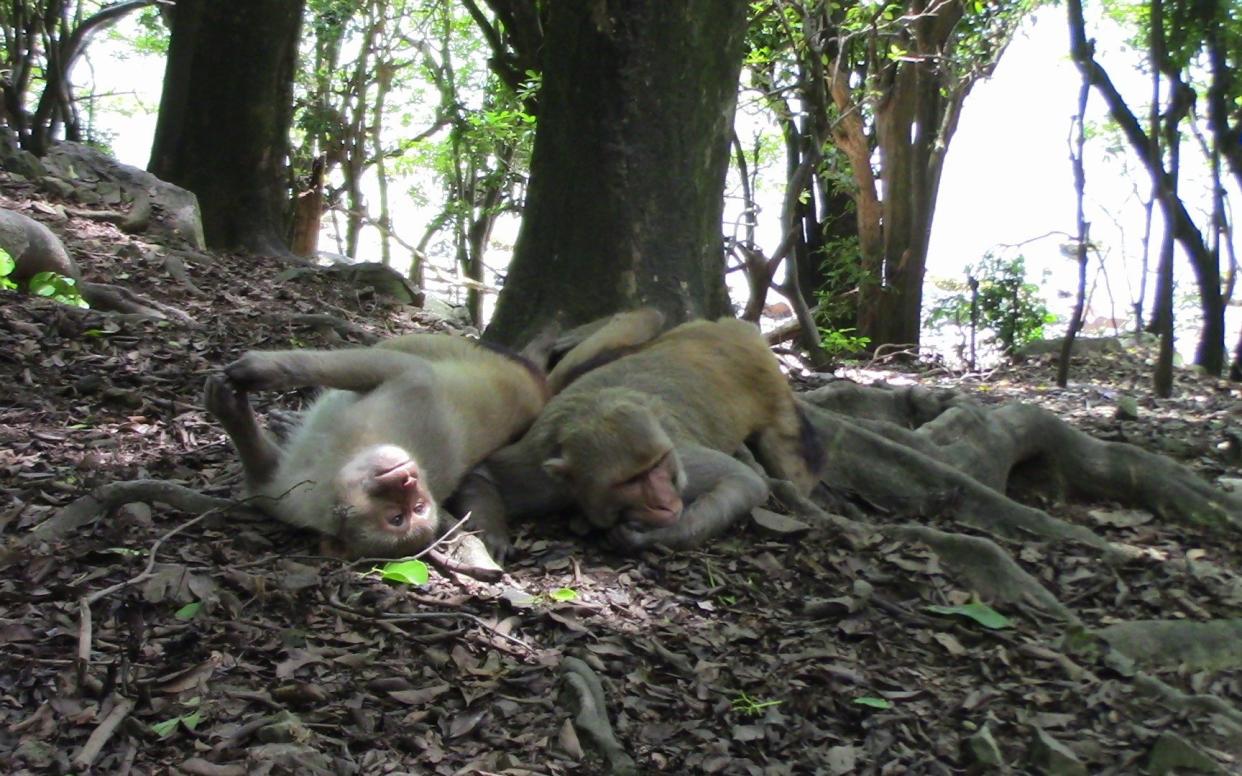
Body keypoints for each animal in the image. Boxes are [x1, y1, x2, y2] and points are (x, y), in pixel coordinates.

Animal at [203, 309, 670, 556]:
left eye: (408, 514)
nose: (404, 477)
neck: (338, 465)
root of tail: (538, 389)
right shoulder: (287, 499)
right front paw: (253, 380)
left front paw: (240, 395)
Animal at [459, 316, 824, 563]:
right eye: (631, 481)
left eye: (658, 465)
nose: (664, 502)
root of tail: (732, 330)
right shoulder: (539, 473)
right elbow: (483, 474)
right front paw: (490, 530)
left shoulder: (682, 460)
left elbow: (744, 481)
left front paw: (653, 537)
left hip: (770, 384)